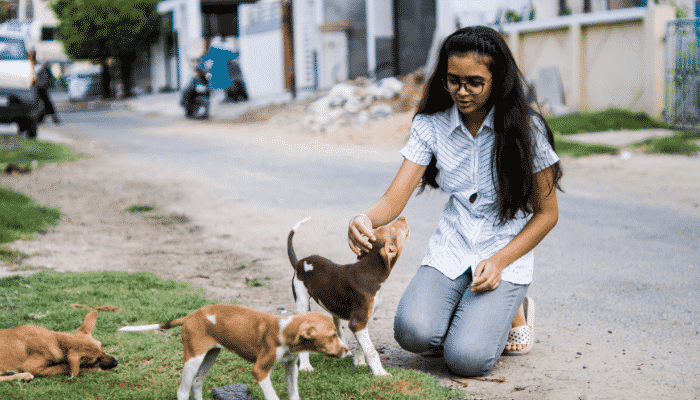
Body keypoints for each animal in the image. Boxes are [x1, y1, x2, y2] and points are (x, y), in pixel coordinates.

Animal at [120, 304, 352, 400]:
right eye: (333, 335)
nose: (347, 351)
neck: (285, 331)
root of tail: (189, 317)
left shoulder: (290, 367)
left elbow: (294, 394)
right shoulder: (260, 371)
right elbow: (272, 396)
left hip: (210, 355)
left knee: (197, 382)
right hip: (193, 358)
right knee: (182, 391)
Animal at [286, 216, 410, 376]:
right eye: (393, 229)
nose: (403, 217)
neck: (370, 270)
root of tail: (300, 263)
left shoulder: (364, 319)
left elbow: (361, 345)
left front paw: (359, 363)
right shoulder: (358, 322)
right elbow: (371, 350)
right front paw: (380, 373)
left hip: (333, 305)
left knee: (337, 325)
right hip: (302, 301)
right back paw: (305, 366)